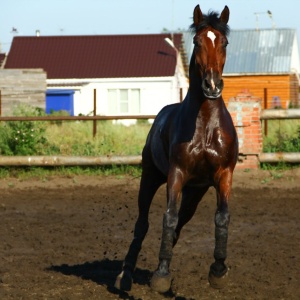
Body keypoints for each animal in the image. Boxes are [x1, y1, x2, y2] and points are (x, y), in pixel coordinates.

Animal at [115, 2, 239, 292]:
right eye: (197, 41)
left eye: (224, 42)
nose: (212, 85)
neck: (204, 126)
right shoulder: (176, 174)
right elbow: (168, 217)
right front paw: (161, 274)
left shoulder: (223, 174)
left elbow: (221, 217)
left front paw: (218, 270)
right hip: (150, 177)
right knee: (143, 223)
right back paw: (126, 274)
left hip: (196, 191)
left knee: (182, 220)